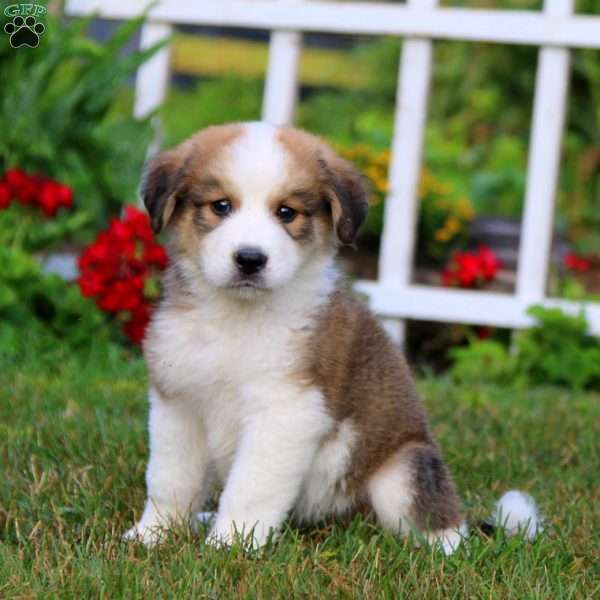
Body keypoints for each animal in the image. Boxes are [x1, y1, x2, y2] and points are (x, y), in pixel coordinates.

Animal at [123, 122, 540, 552]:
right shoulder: (178, 402)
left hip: (403, 468)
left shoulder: (286, 410)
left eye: (286, 212)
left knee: (441, 524)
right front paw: (154, 534)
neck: (237, 318)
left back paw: (445, 548)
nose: (250, 260)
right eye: (220, 206)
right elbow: (170, 479)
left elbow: (250, 487)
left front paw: (231, 543)